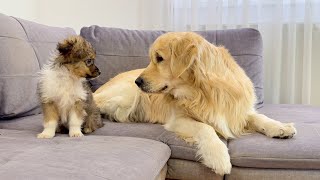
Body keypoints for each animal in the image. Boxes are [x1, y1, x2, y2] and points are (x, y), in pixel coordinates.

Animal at [93, 32, 298, 174]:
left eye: (159, 58)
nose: (138, 81)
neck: (202, 92)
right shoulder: (177, 119)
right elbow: (206, 128)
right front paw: (219, 157)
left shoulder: (236, 111)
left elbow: (260, 117)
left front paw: (280, 128)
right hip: (124, 95)